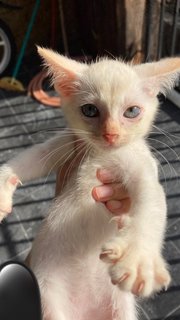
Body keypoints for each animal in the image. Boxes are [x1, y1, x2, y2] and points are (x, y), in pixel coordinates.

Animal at [0, 48, 179, 320]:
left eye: (132, 112)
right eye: (90, 110)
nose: (111, 134)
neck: (101, 154)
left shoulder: (142, 168)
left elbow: (151, 200)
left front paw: (139, 258)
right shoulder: (66, 143)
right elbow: (32, 158)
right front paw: (2, 187)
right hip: (49, 300)